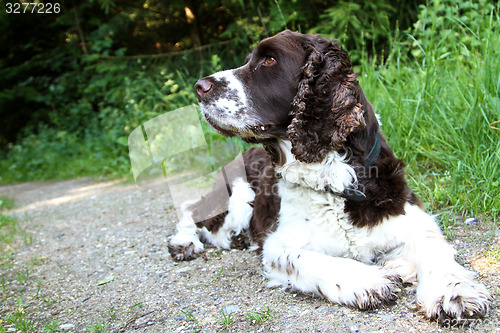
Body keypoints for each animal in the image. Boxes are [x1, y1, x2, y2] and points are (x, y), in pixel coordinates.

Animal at [168, 29, 488, 320]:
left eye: (269, 60)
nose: (199, 86)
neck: (333, 176)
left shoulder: (413, 216)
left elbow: (434, 250)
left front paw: (453, 292)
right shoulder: (277, 244)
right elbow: (309, 259)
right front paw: (368, 280)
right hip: (237, 194)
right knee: (194, 210)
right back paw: (184, 242)